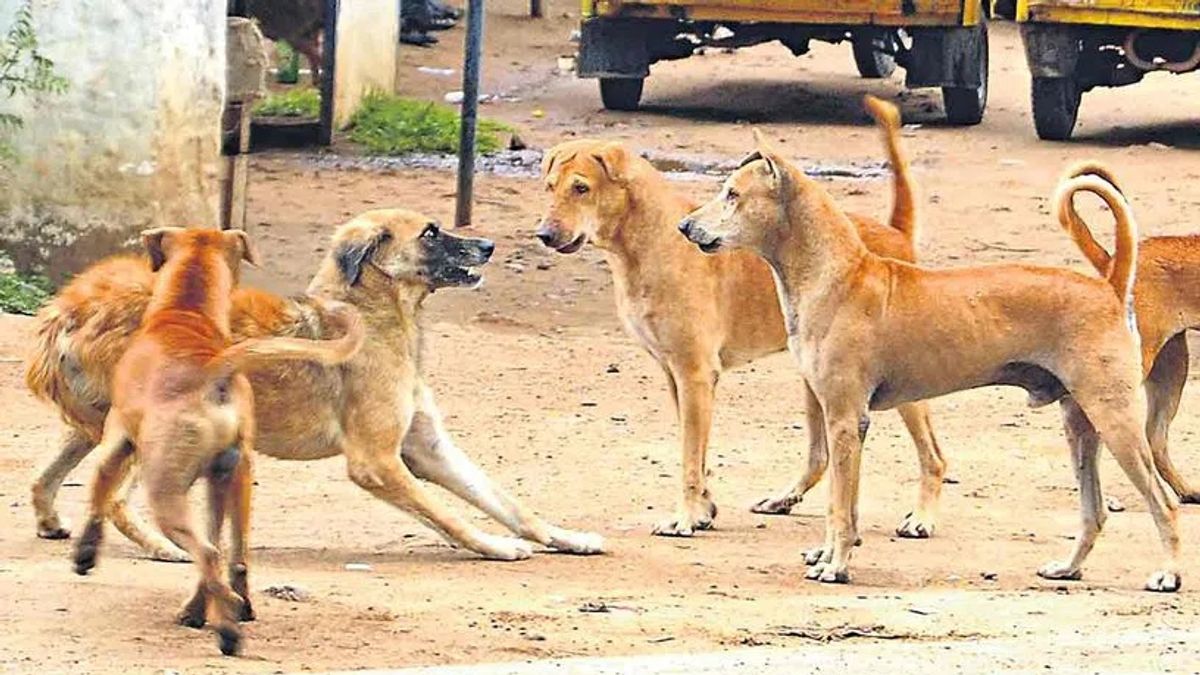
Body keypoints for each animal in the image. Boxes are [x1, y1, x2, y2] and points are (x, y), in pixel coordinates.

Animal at [27, 207, 604, 564]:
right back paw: (168, 548)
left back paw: (53, 520)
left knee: (46, 476)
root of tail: (69, 309)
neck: (375, 314)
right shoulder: (377, 461)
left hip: (99, 425)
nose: (489, 244)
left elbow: (509, 502)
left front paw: (565, 537)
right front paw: (494, 545)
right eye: (431, 233)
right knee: (118, 498)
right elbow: (447, 515)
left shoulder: (427, 447)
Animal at [65, 225, 360, 653]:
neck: (186, 312)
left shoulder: (117, 439)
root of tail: (212, 372)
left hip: (165, 491)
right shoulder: (224, 476)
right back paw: (227, 607)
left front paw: (85, 554)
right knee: (231, 554)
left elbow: (99, 491)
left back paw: (227, 630)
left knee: (208, 554)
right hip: (235, 479)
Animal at [540, 102, 950, 538]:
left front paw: (685, 517)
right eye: (550, 186)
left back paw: (922, 518)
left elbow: (689, 459)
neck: (650, 241)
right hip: (815, 383)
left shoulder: (695, 374)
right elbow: (698, 455)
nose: (543, 234)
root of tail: (895, 233)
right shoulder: (675, 376)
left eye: (581, 188)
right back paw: (783, 499)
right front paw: (703, 511)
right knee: (819, 457)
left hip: (901, 387)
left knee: (933, 456)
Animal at [681, 96, 1185, 588]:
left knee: (1164, 502)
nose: (685, 227)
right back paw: (1068, 568)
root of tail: (1109, 287)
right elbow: (838, 503)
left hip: (1113, 418)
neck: (836, 275)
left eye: (732, 195)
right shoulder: (837, 418)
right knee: (1094, 513)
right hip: (1080, 424)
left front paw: (835, 565)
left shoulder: (845, 420)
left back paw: (1169, 572)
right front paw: (828, 555)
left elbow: (840, 507)